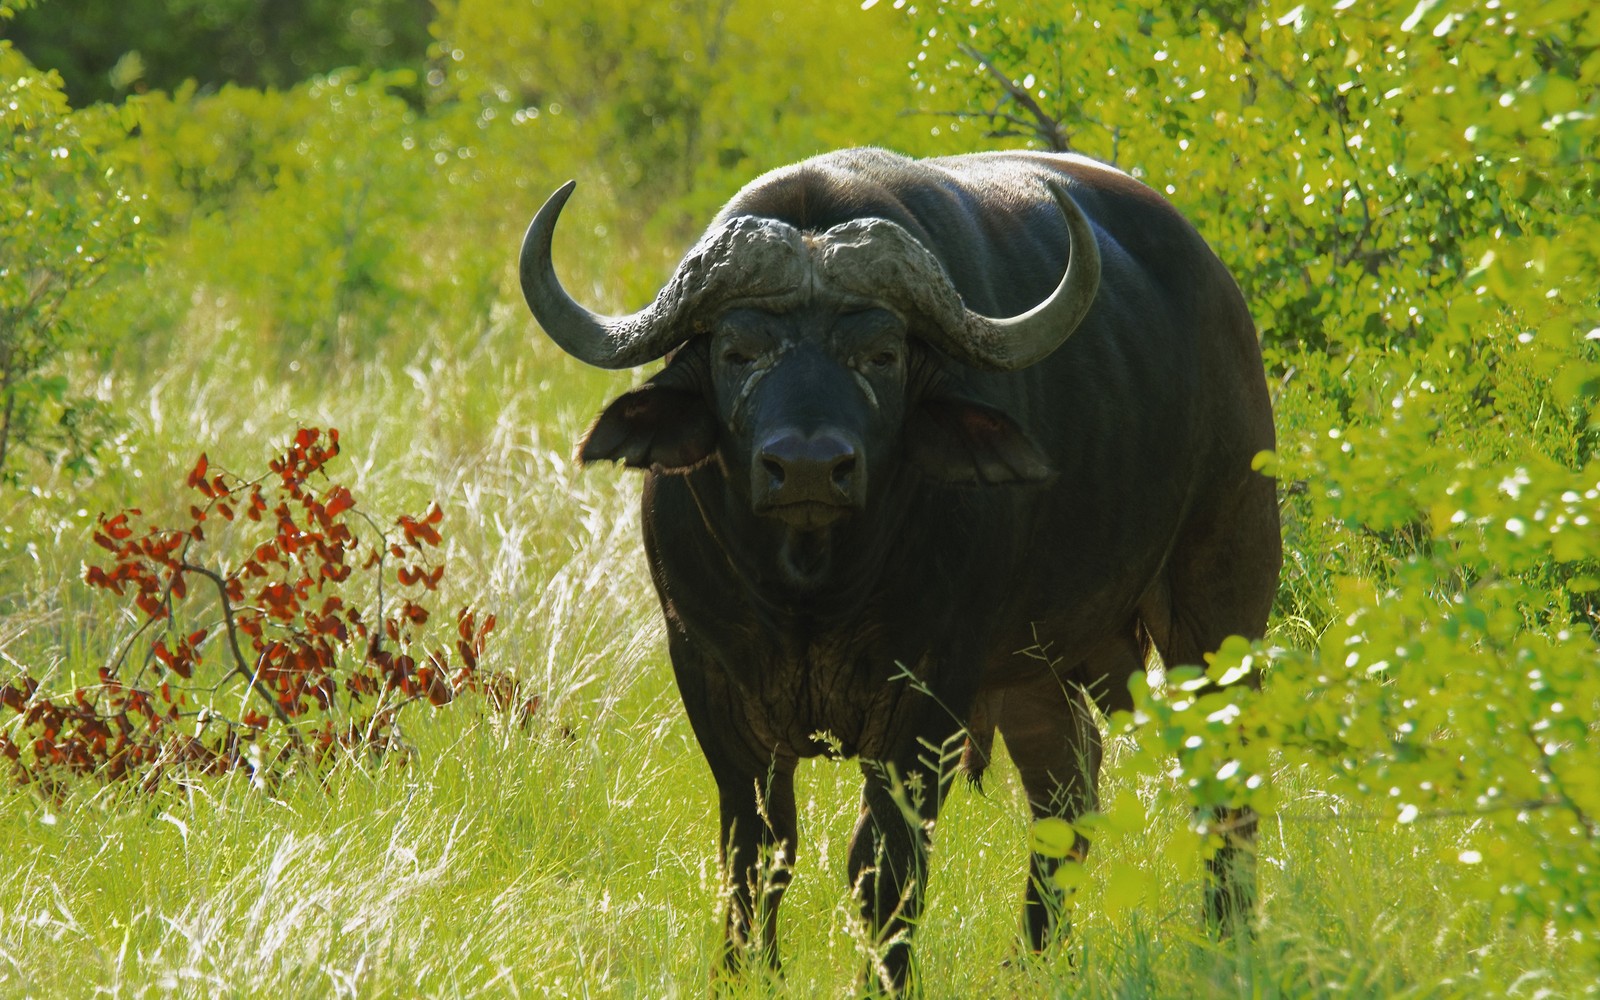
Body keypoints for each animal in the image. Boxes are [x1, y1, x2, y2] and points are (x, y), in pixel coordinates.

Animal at [518, 148, 1280, 992]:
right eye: (736, 351)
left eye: (881, 354)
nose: (807, 467)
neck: (808, 590)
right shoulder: (707, 673)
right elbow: (757, 850)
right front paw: (744, 973)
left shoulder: (929, 691)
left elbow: (884, 864)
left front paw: (887, 979)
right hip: (1036, 672)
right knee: (1066, 793)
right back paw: (1029, 961)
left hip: (1221, 605)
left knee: (1225, 782)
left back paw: (1227, 939)